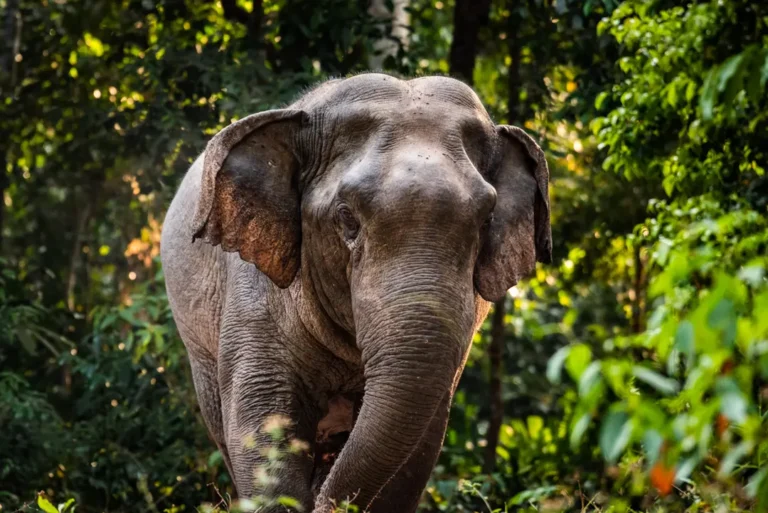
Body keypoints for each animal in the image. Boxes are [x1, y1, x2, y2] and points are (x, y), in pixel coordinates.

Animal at [160, 73, 552, 513]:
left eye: (486, 220)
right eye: (347, 217)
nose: (324, 505)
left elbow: (417, 446)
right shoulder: (254, 298)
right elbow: (260, 422)